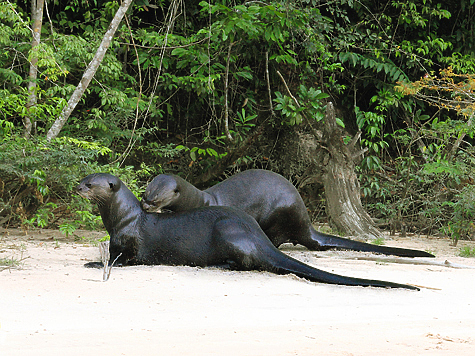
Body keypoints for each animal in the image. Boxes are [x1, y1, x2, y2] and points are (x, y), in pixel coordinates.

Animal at [77, 174, 420, 290]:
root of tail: (257, 236)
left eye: (91, 184)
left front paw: (93, 263)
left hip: (229, 232)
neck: (123, 219)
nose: (77, 187)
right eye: (83, 178)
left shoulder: (129, 247)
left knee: (245, 262)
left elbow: (119, 260)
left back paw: (218, 264)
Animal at [140, 168, 436, 258]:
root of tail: (307, 226)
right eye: (145, 192)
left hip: (279, 213)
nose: (145, 203)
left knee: (278, 238)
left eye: (156, 197)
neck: (201, 200)